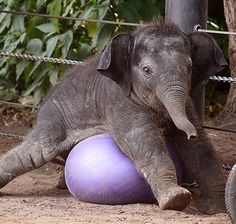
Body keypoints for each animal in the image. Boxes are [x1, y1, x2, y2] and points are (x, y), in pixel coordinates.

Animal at [0, 18, 227, 214]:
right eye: (147, 70)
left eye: (190, 68)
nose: (191, 133)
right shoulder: (118, 101)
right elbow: (142, 140)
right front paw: (176, 199)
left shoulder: (187, 104)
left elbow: (200, 149)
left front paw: (217, 210)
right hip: (54, 119)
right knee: (34, 152)